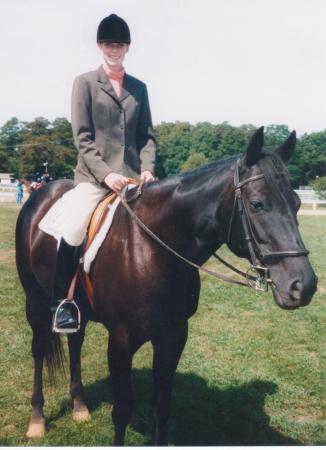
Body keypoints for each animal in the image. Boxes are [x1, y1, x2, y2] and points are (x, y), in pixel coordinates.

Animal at [15, 128, 318, 444]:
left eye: (297, 204)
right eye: (257, 204)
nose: (304, 285)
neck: (152, 247)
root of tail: (42, 193)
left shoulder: (173, 335)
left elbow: (162, 407)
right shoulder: (121, 340)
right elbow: (122, 411)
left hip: (79, 308)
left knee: (75, 342)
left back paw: (79, 407)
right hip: (35, 301)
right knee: (39, 349)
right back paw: (37, 420)